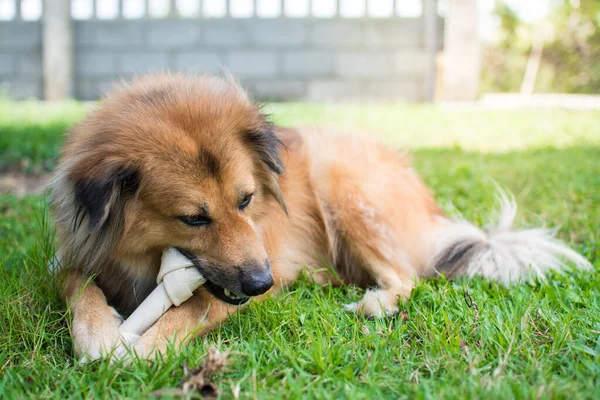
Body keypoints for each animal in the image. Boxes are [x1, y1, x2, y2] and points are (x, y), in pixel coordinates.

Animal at [50, 73, 592, 360]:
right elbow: (78, 285)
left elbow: (194, 306)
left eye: (246, 200)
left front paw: (137, 349)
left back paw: (374, 303)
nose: (262, 283)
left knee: (407, 276)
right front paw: (99, 332)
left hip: (340, 179)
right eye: (193, 219)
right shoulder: (75, 255)